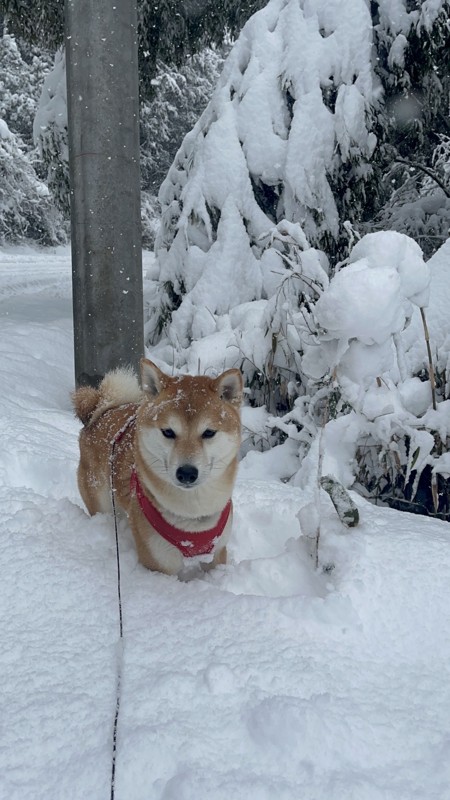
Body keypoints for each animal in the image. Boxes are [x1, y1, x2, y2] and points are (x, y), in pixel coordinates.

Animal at [73, 360, 243, 576]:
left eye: (209, 432)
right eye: (168, 432)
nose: (186, 473)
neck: (193, 513)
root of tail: (104, 410)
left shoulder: (217, 552)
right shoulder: (158, 564)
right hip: (102, 504)